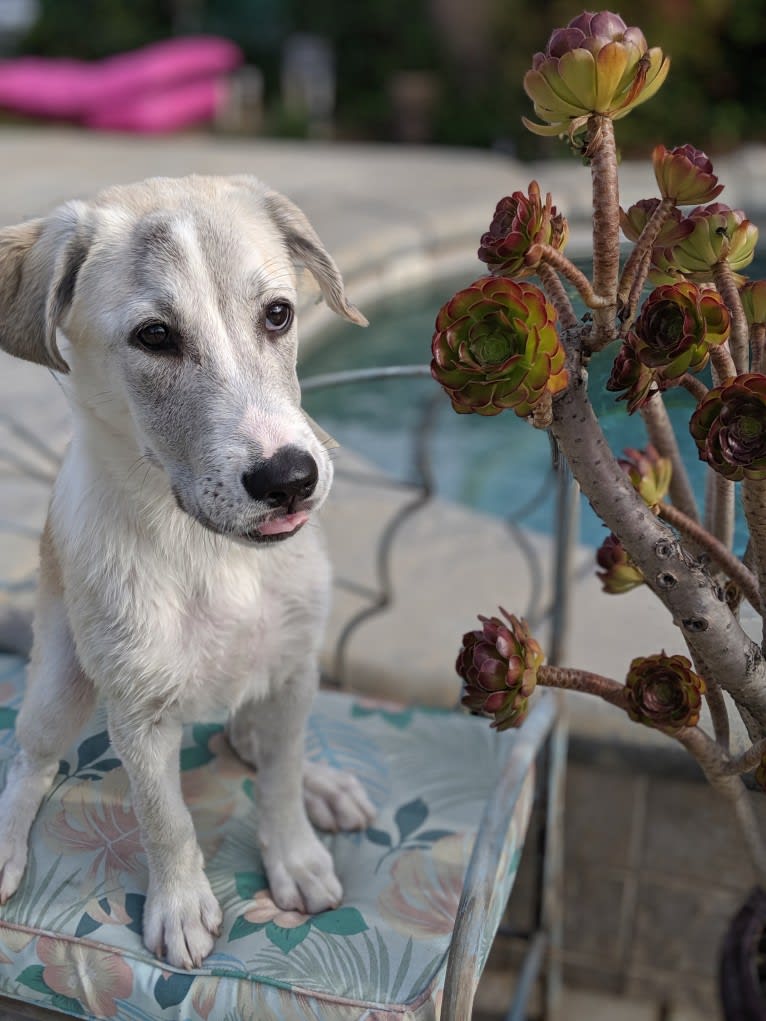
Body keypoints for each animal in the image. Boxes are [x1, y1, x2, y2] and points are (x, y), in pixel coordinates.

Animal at [0, 175, 375, 963]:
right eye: (155, 336)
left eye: (278, 314)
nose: (290, 478)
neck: (211, 553)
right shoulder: (136, 711)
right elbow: (163, 816)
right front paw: (180, 906)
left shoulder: (293, 673)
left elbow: (280, 779)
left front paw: (296, 854)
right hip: (60, 685)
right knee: (31, 758)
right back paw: (9, 842)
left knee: (254, 743)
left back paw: (323, 785)